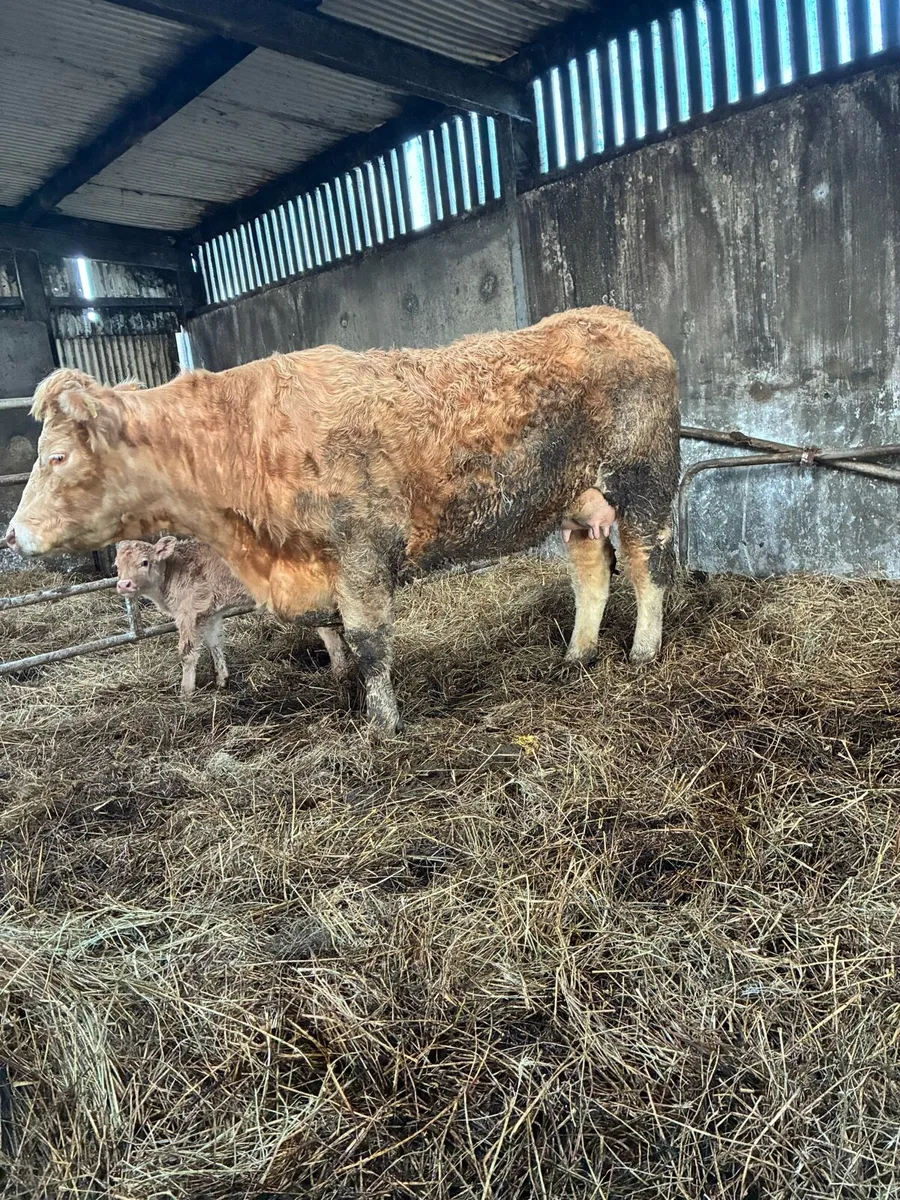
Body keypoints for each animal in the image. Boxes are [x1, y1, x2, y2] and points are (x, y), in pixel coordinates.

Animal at [114, 536, 350, 696]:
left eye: (145, 562)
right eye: (117, 566)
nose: (124, 585)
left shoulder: (189, 612)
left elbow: (187, 653)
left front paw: (186, 692)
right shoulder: (210, 614)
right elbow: (214, 643)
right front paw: (222, 680)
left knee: (329, 633)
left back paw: (339, 673)